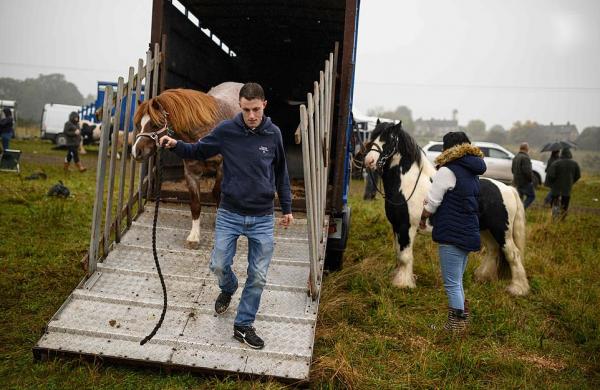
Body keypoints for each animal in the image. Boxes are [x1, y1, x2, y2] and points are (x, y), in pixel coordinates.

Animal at [132, 82, 243, 247]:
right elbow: (195, 205)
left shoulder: (222, 168)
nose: (136, 152)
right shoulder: (191, 172)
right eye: (139, 124)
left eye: (155, 124)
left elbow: (217, 192)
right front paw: (194, 237)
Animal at [364, 122, 528, 296]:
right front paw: (399, 278)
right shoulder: (396, 226)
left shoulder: (407, 227)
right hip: (486, 230)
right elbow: (398, 253)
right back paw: (483, 277)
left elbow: (405, 256)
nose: (369, 161)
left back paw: (518, 289)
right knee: (493, 250)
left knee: (513, 254)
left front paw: (403, 284)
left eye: (389, 139)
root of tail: (508, 189)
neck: (408, 185)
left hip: (501, 231)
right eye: (373, 136)